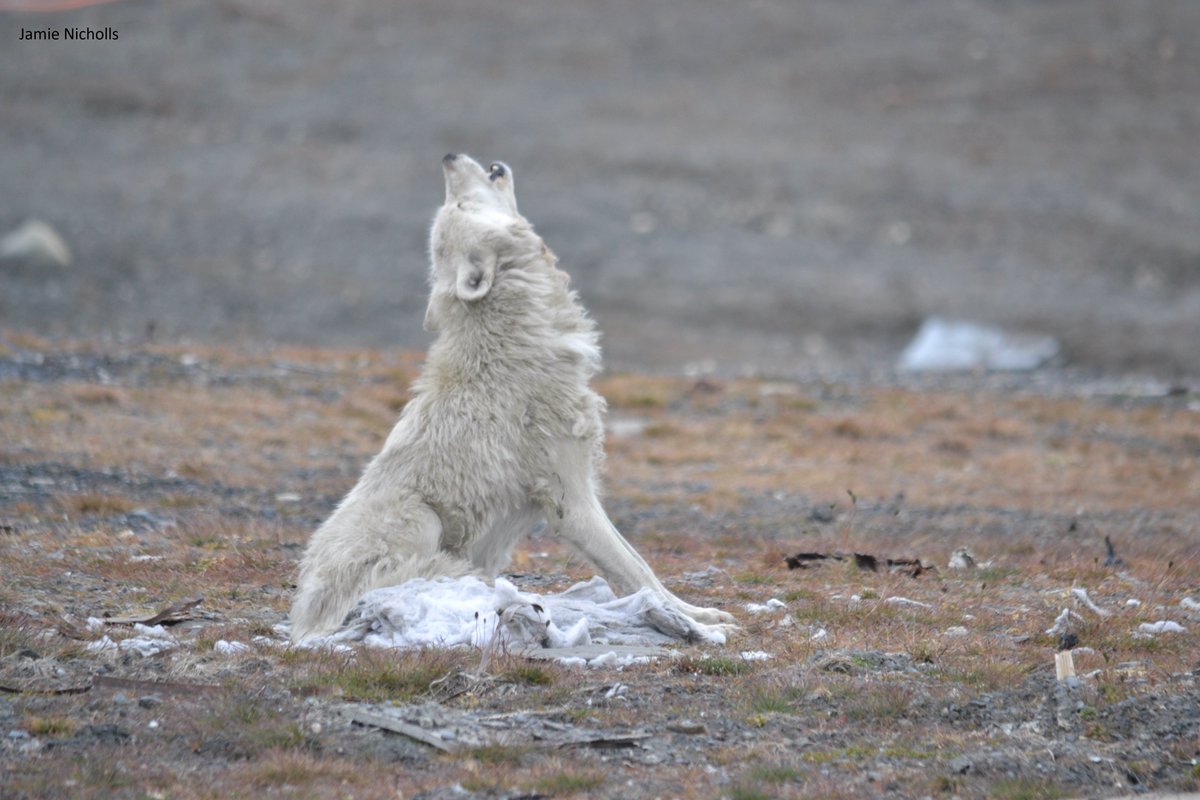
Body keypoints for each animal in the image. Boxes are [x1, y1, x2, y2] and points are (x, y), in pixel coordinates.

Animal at [289, 153, 736, 643]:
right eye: (459, 204)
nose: (447, 157)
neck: (511, 340)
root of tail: (304, 621)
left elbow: (641, 568)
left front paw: (702, 614)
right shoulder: (570, 499)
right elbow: (637, 570)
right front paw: (694, 623)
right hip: (421, 520)